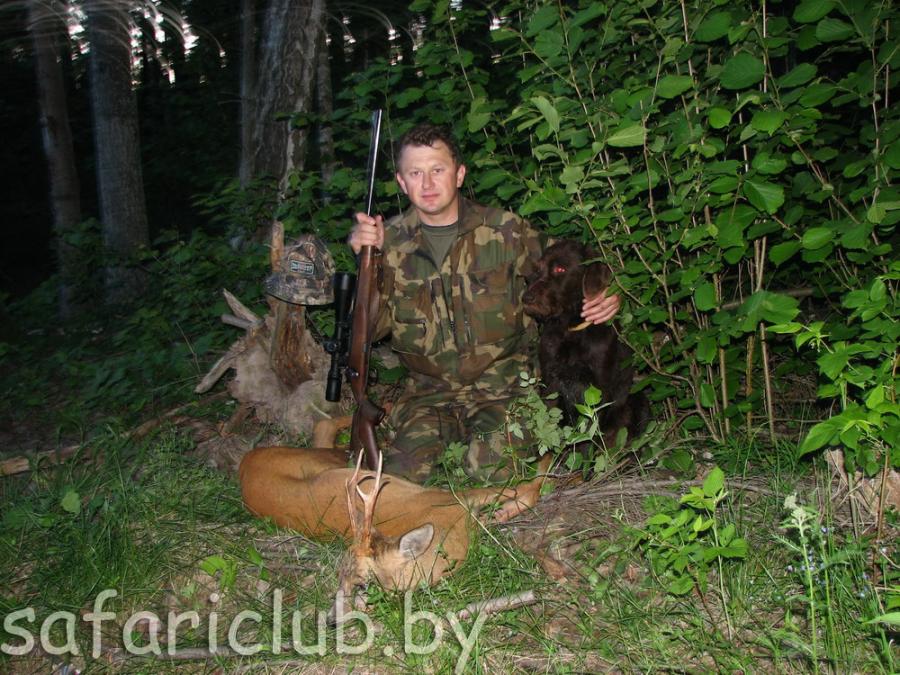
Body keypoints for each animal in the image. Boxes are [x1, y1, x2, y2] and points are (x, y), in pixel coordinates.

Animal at [239, 416, 552, 620]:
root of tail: (244, 463)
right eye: (340, 578)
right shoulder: (455, 501)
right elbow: (523, 491)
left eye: (362, 584)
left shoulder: (455, 500)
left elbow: (522, 490)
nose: (330, 620)